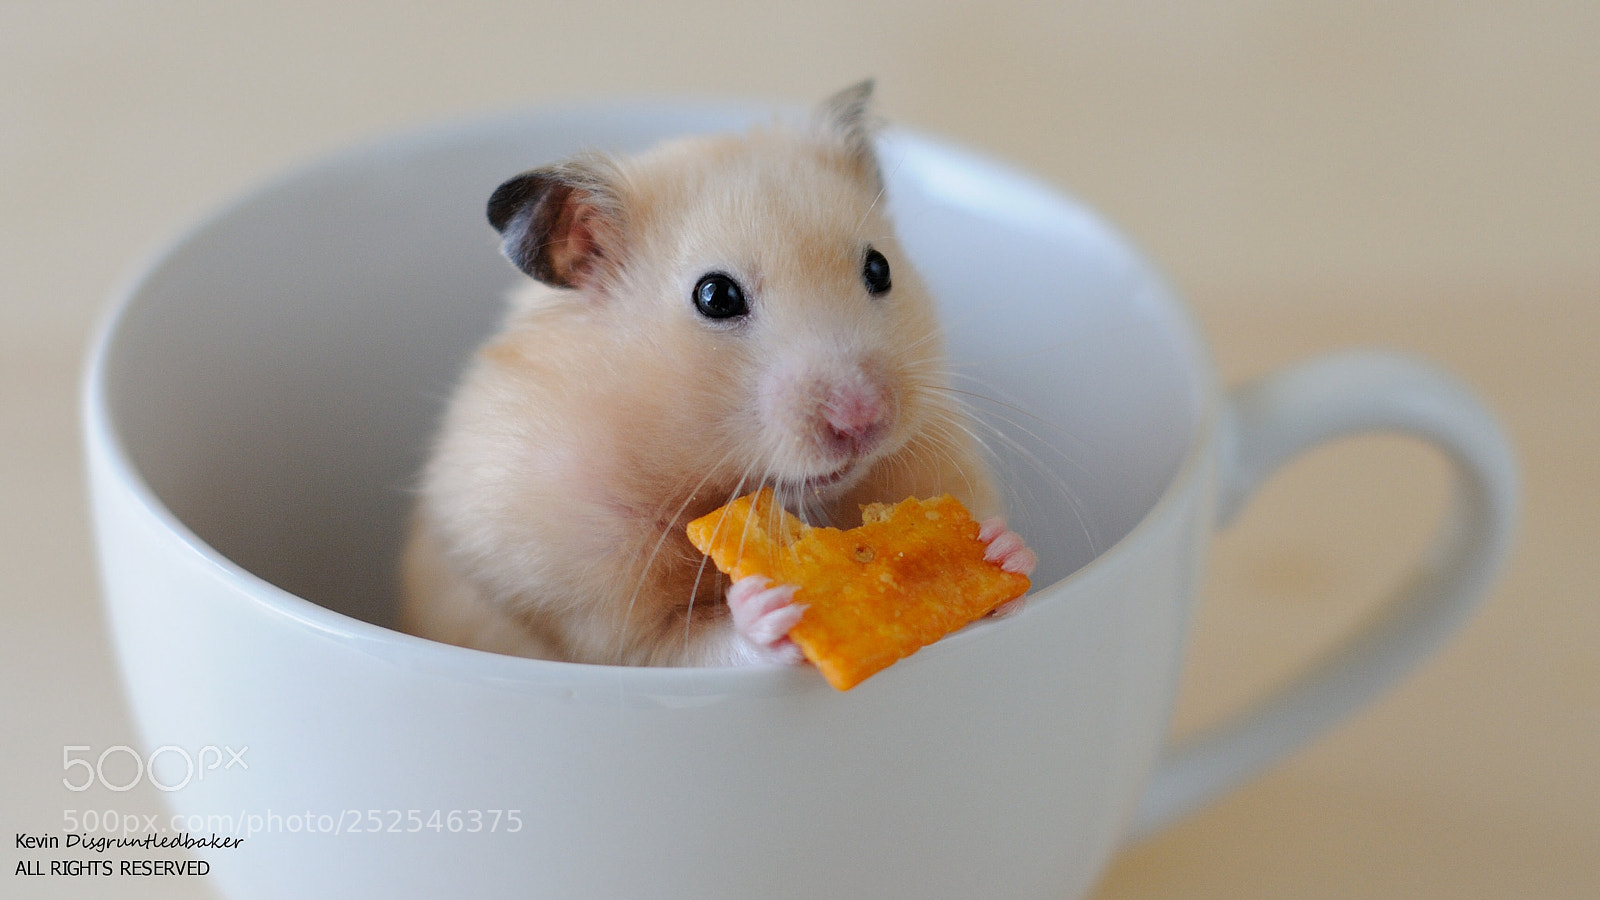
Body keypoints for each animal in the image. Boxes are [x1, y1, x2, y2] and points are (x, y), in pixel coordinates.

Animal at [399, 81, 1036, 668]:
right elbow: (685, 644)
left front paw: (1000, 550)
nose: (862, 421)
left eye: (879, 268)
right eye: (716, 296)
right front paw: (771, 610)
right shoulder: (587, 602)